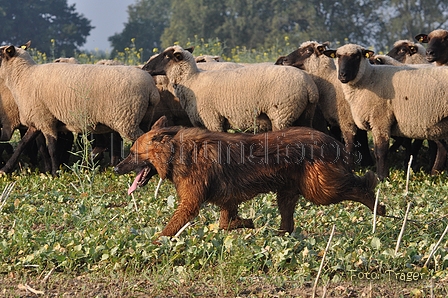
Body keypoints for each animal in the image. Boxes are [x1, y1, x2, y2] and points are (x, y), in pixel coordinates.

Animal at [0, 41, 160, 175]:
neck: (23, 76)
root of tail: (152, 89)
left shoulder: (46, 120)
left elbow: (51, 148)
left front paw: (54, 173)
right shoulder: (37, 121)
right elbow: (22, 145)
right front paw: (5, 169)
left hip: (127, 119)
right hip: (139, 118)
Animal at [114, 116, 384, 237]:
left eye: (132, 152)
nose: (116, 169)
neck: (178, 151)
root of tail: (331, 141)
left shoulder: (191, 202)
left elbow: (171, 227)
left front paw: (157, 241)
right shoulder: (227, 199)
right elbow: (226, 223)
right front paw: (246, 223)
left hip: (321, 188)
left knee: (359, 186)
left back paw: (377, 205)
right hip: (287, 192)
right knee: (288, 223)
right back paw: (279, 236)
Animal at [143, 45, 318, 132]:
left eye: (166, 55)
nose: (145, 67)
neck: (192, 81)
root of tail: (310, 87)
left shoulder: (213, 120)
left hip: (281, 114)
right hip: (305, 115)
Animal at [324, 43, 448, 179]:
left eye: (356, 56)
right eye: (338, 56)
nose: (343, 75)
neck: (369, 78)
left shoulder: (381, 120)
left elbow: (381, 151)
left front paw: (382, 177)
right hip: (436, 123)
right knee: (442, 147)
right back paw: (434, 174)